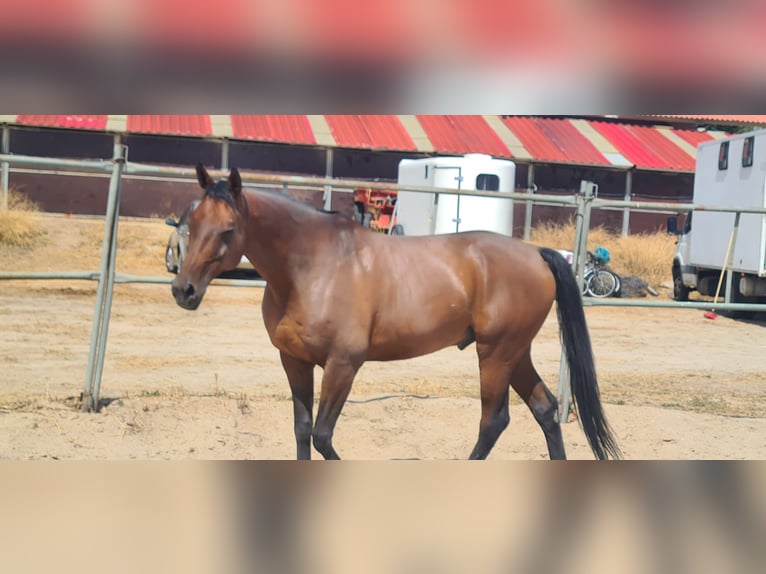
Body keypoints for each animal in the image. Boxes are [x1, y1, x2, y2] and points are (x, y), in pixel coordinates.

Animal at [174, 164, 624, 462]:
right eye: (189, 222)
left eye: (228, 229)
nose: (184, 290)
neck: (313, 266)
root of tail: (536, 253)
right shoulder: (294, 361)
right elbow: (303, 433)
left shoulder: (343, 364)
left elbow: (322, 436)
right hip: (514, 353)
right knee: (545, 411)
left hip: (496, 354)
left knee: (493, 422)